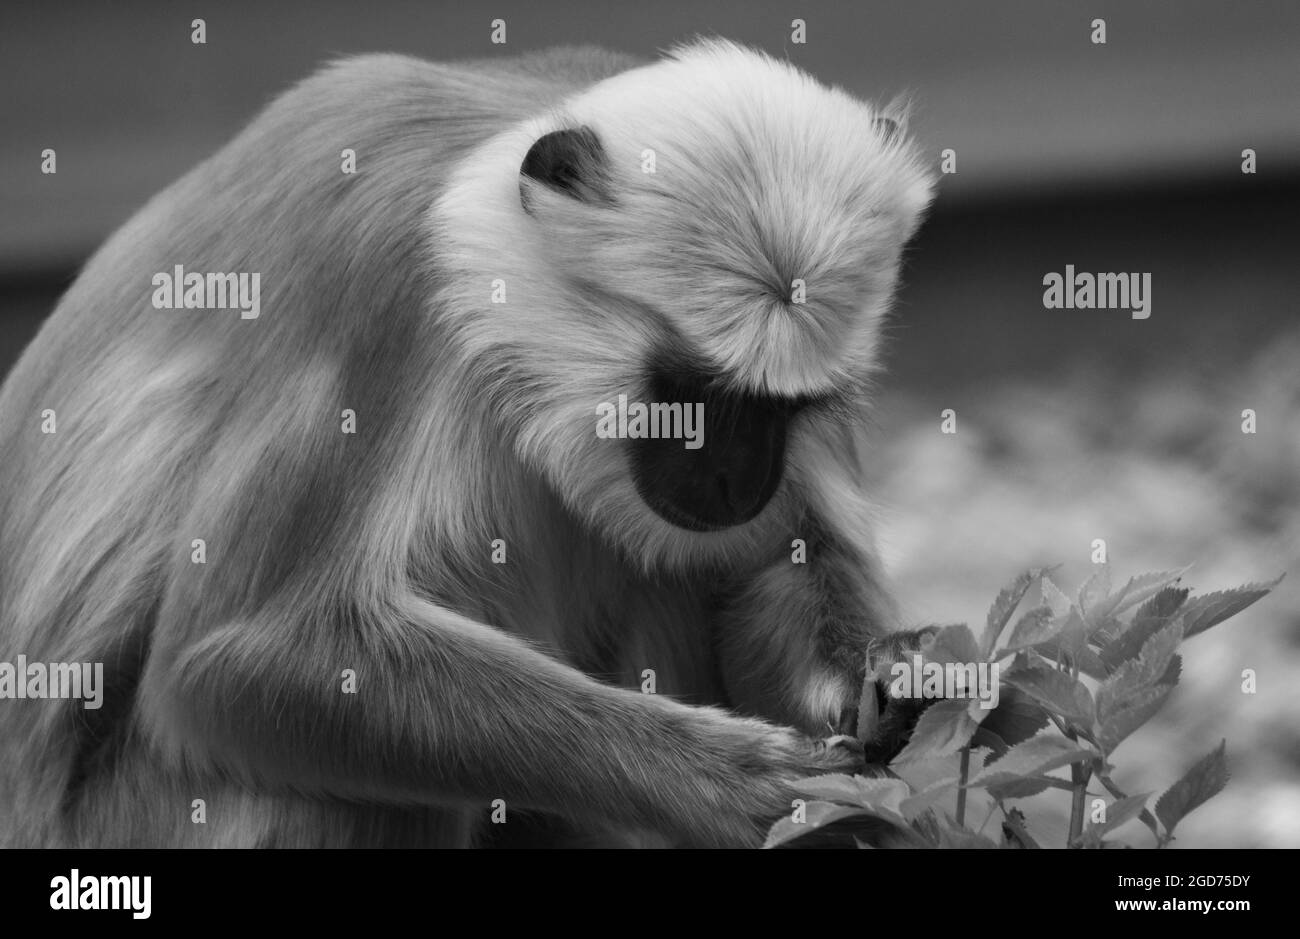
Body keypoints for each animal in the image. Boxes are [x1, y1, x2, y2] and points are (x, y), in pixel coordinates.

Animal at [0, 40, 935, 842]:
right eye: (692, 401)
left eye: (788, 411)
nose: (740, 484)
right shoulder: (388, 275)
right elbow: (236, 660)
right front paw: (721, 779)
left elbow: (782, 556)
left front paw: (894, 685)